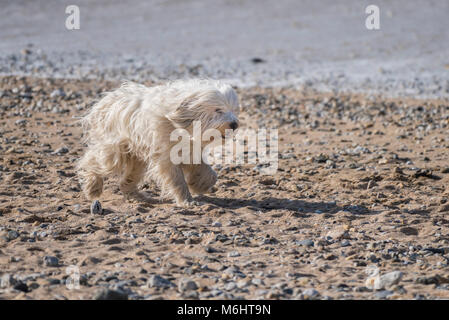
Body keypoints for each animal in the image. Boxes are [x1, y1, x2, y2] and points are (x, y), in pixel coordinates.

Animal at [77, 79, 240, 206]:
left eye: (233, 109)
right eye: (218, 110)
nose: (234, 124)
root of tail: (106, 100)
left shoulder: (190, 150)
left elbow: (206, 171)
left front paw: (200, 184)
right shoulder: (166, 156)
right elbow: (177, 179)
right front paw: (187, 200)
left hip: (136, 157)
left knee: (127, 180)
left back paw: (139, 196)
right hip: (115, 148)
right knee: (92, 160)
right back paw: (93, 187)